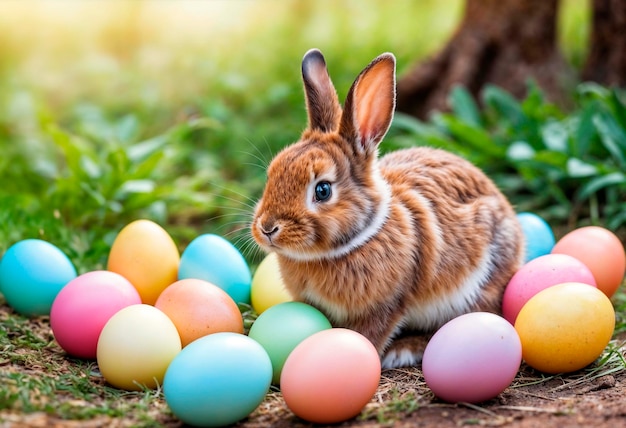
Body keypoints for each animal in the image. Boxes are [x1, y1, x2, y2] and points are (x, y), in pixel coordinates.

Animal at [249, 49, 520, 368]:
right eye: (271, 174)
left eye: (322, 190)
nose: (267, 228)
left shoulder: (387, 305)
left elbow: (369, 335)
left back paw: (406, 350)